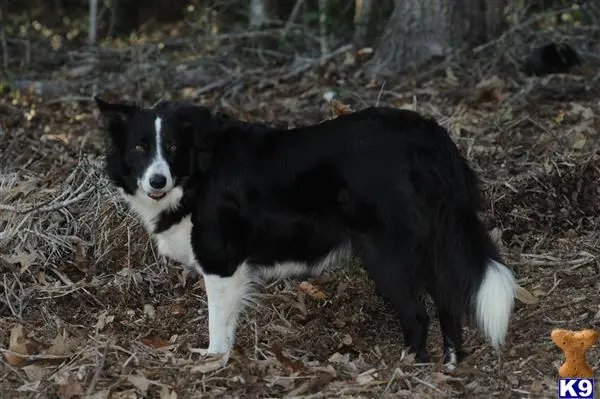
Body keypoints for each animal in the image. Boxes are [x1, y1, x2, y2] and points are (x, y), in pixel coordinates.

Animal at [96, 97, 516, 372]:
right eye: (140, 147)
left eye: (171, 147)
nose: (157, 180)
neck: (197, 171)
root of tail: (432, 137)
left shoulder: (220, 259)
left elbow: (217, 320)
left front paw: (214, 360)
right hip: (429, 244)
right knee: (448, 301)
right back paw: (449, 364)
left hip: (387, 255)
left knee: (417, 314)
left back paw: (407, 367)